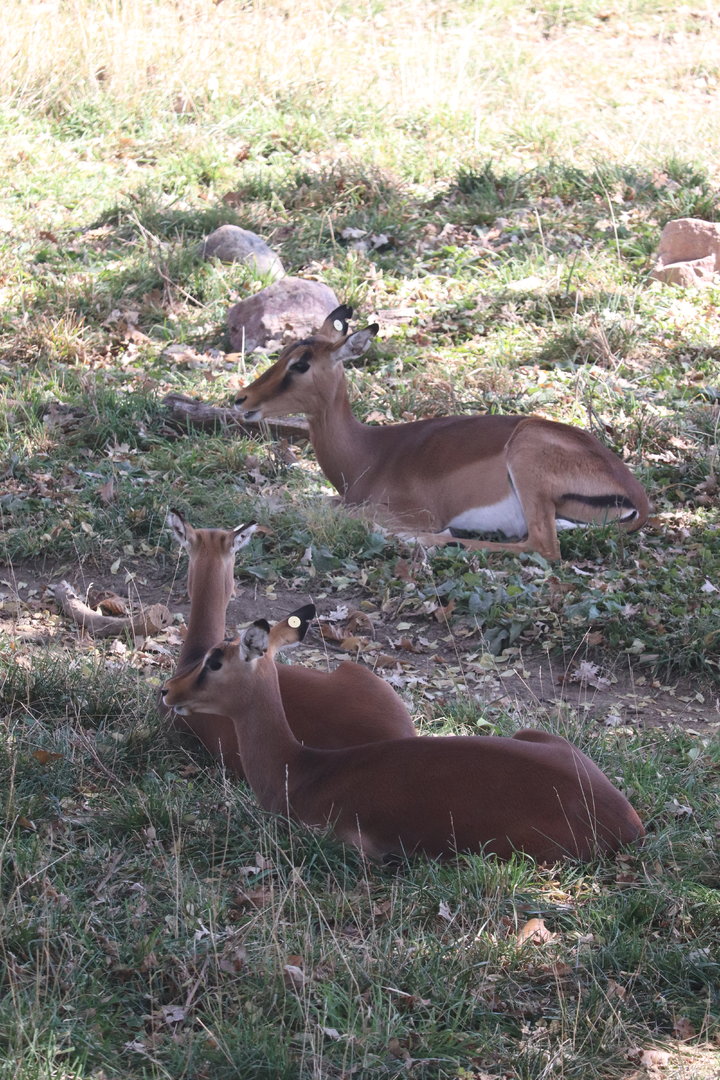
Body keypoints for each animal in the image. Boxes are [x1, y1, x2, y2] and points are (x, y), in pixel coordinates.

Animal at [233, 306, 650, 560]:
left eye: (301, 364)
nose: (241, 398)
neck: (368, 453)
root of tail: (636, 495)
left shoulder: (409, 512)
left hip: (527, 461)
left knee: (541, 546)